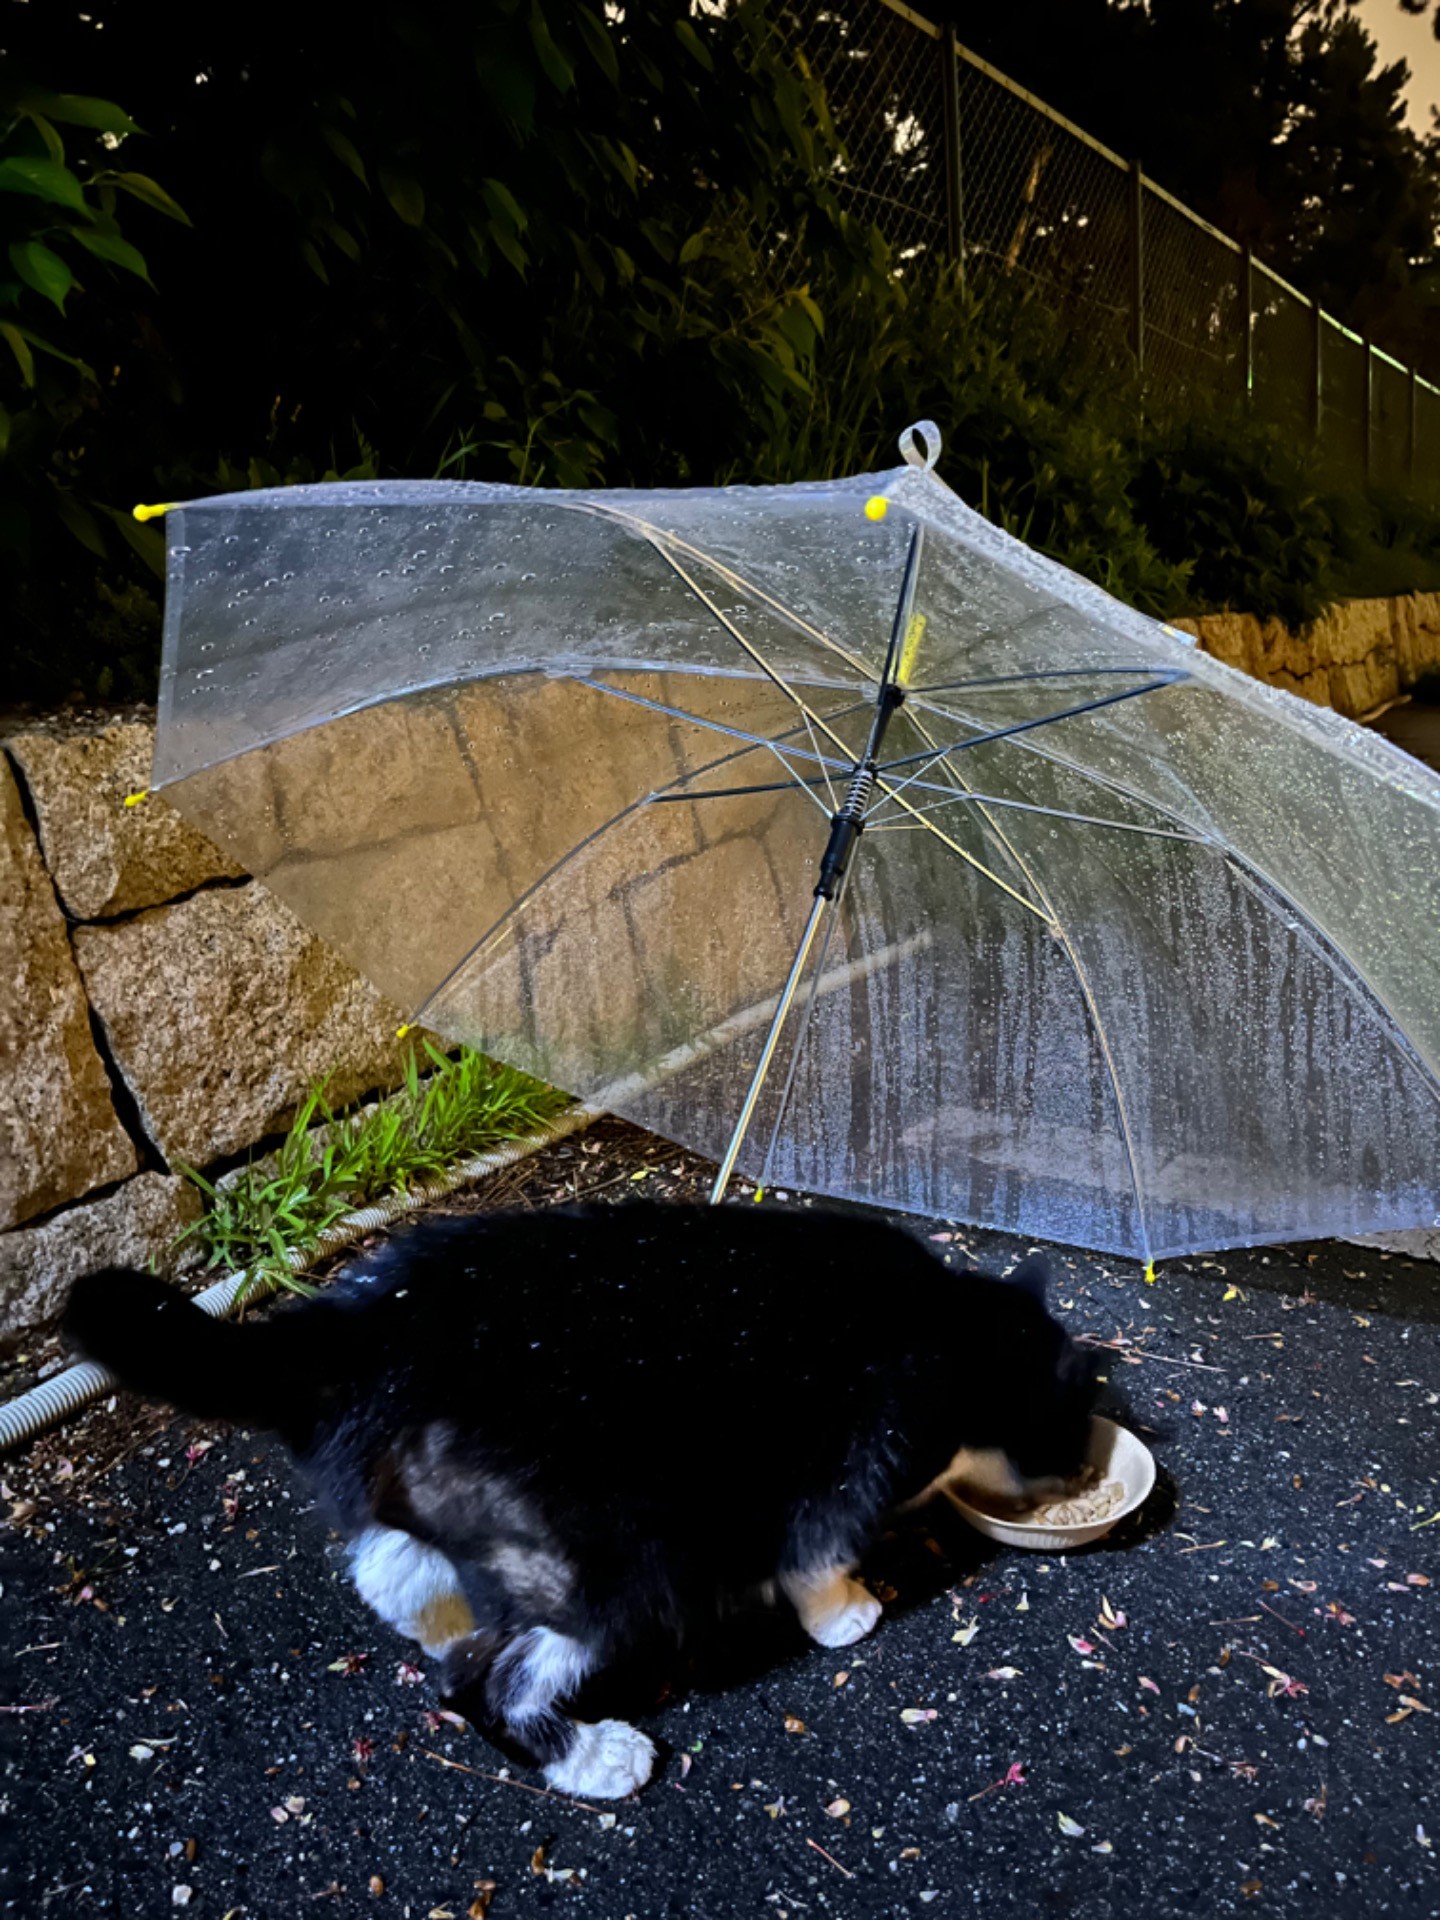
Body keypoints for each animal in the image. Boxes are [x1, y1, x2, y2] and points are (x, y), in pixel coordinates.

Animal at [64, 1198, 1090, 1797]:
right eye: (1067, 1417)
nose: (1082, 1469)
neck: (949, 1321)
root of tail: (357, 1328)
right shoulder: (854, 1455)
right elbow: (817, 1550)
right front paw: (842, 1613)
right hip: (613, 1561)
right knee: (486, 1685)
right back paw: (594, 1760)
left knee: (392, 1573)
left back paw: (435, 1621)